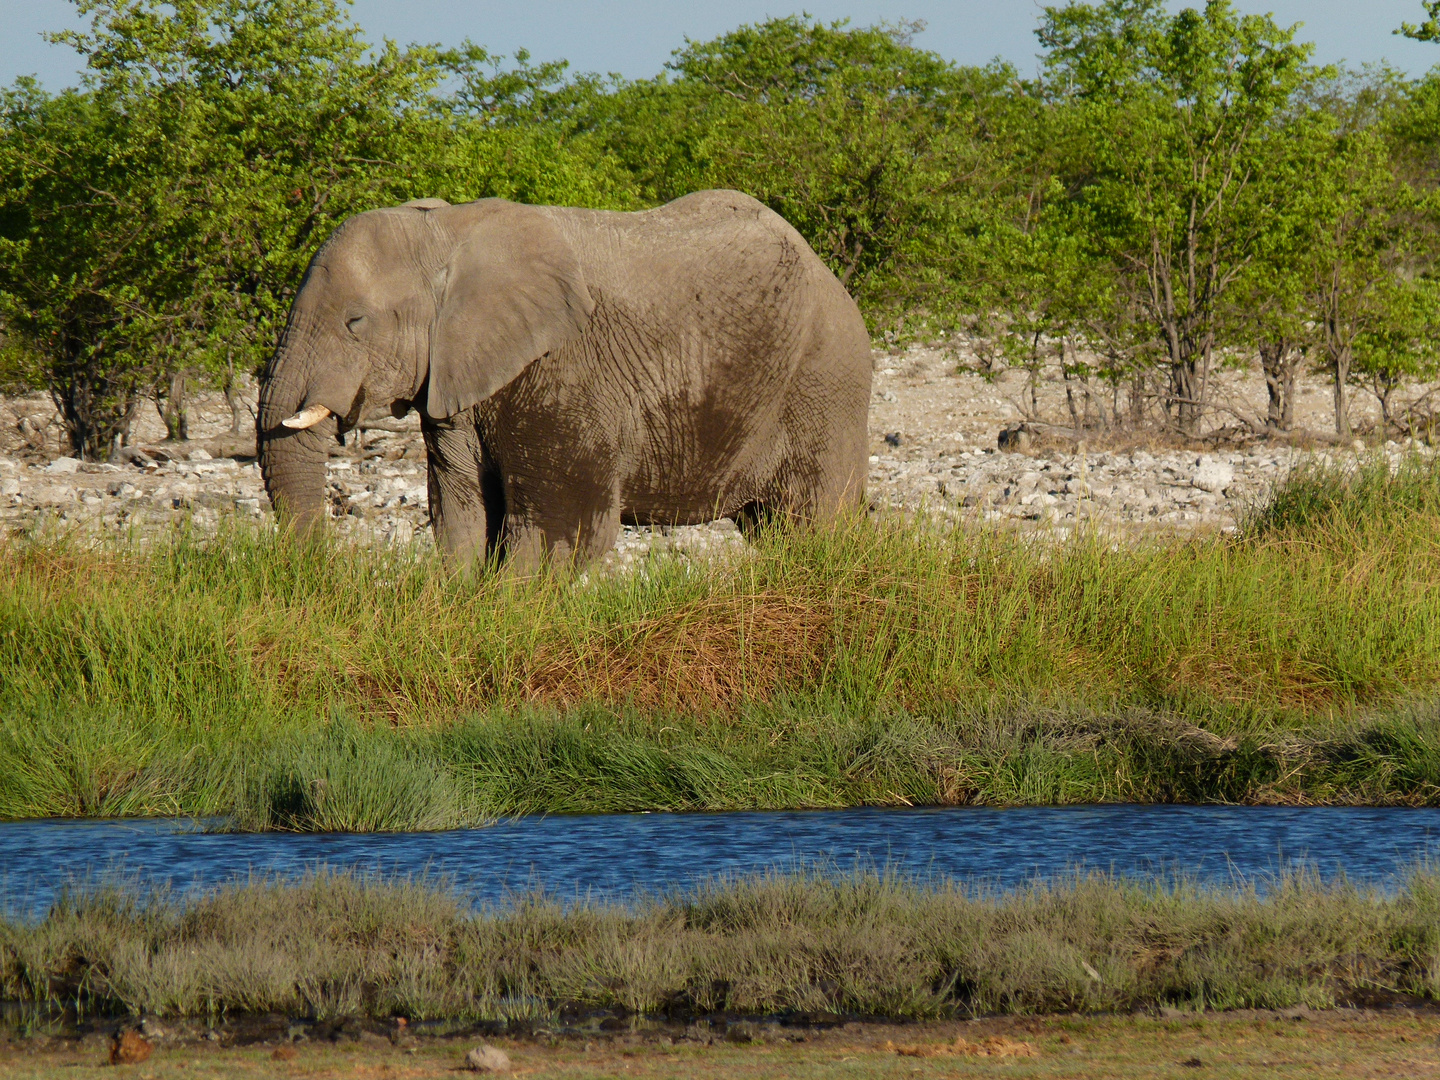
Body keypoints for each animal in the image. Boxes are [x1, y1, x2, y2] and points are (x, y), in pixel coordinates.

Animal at [253, 188, 869, 570]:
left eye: (355, 323)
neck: (446, 229)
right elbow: (461, 517)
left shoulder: (568, 375)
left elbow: (560, 533)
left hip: (825, 380)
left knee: (811, 526)